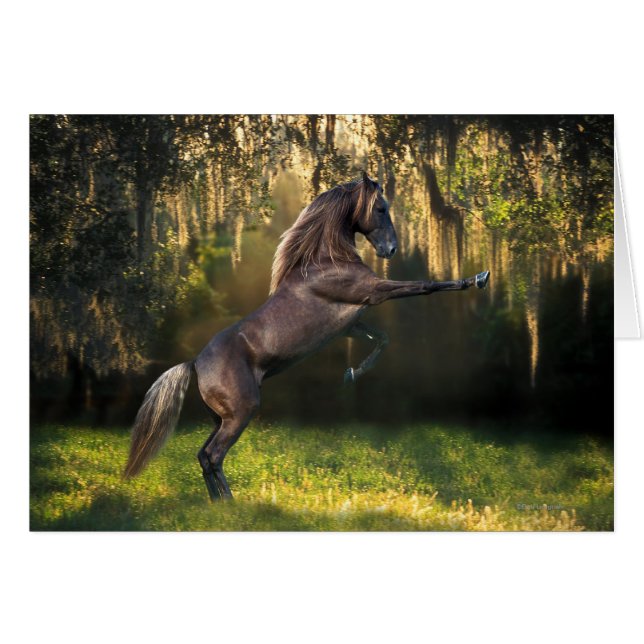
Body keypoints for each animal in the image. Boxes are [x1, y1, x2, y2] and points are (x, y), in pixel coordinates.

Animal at [124, 172, 490, 501]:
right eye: (381, 208)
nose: (391, 249)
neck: (326, 261)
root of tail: (195, 363)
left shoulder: (351, 324)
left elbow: (382, 339)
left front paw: (350, 374)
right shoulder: (374, 292)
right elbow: (425, 286)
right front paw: (478, 278)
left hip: (221, 417)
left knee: (204, 456)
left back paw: (220, 504)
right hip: (240, 412)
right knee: (213, 455)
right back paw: (229, 504)